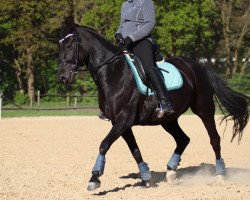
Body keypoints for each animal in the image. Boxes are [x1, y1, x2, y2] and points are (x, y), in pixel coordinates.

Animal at [58, 21, 248, 191]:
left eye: (70, 45)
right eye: (59, 46)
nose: (63, 77)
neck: (114, 73)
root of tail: (199, 67)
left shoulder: (124, 119)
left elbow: (104, 144)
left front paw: (94, 178)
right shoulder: (120, 123)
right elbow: (134, 149)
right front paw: (145, 177)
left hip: (204, 109)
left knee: (214, 138)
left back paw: (220, 174)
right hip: (168, 119)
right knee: (183, 139)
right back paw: (171, 172)